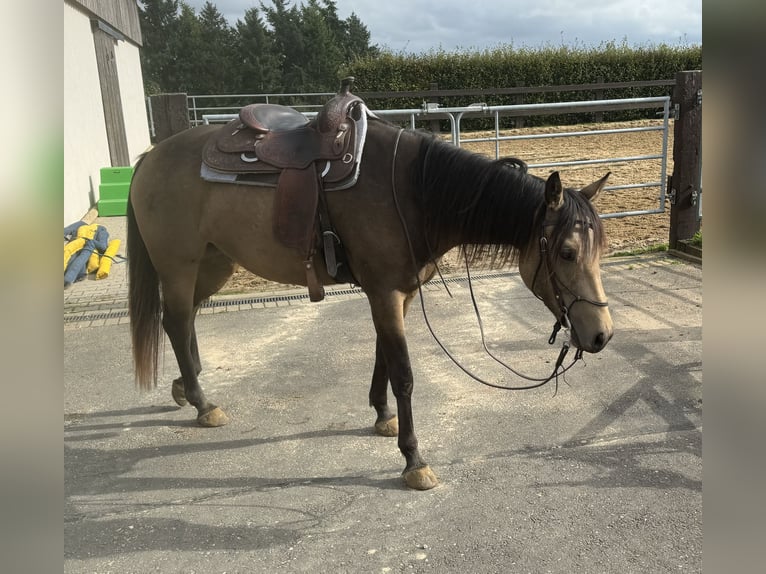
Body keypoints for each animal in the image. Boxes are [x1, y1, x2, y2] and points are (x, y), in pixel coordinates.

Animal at [129, 79, 616, 490]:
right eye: (567, 252)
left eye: (600, 249)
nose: (602, 335)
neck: (413, 192)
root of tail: (150, 158)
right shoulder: (385, 292)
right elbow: (403, 374)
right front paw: (413, 459)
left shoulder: (399, 293)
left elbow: (383, 355)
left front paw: (383, 417)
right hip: (179, 265)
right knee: (175, 322)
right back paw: (202, 402)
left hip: (214, 264)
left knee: (185, 320)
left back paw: (186, 385)